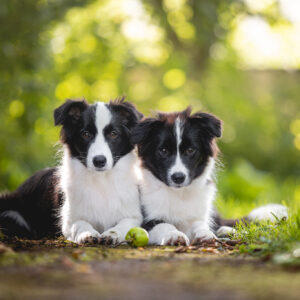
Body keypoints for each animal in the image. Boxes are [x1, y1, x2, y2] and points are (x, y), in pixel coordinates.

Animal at [0, 98, 143, 244]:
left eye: (114, 134)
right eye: (85, 134)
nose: (99, 161)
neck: (101, 179)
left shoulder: (134, 215)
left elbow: (126, 224)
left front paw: (112, 234)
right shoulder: (68, 219)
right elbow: (79, 224)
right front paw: (87, 233)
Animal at [132, 109, 288, 245]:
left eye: (190, 150)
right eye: (163, 151)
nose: (178, 177)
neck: (180, 193)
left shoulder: (200, 214)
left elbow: (199, 223)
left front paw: (205, 233)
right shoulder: (146, 220)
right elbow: (164, 225)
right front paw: (174, 235)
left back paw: (228, 231)